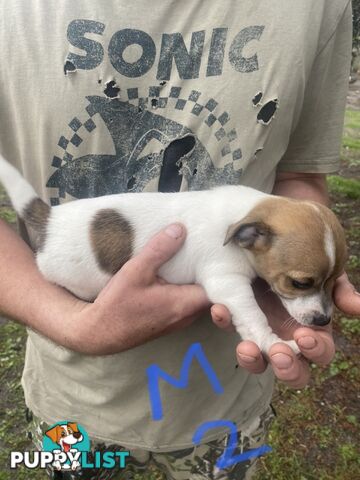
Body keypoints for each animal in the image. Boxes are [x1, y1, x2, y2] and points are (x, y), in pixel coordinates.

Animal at [0, 156, 348, 354]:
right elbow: (254, 316)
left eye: (333, 282)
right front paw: (272, 343)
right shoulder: (228, 282)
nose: (323, 320)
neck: (242, 215)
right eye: (300, 283)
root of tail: (50, 219)